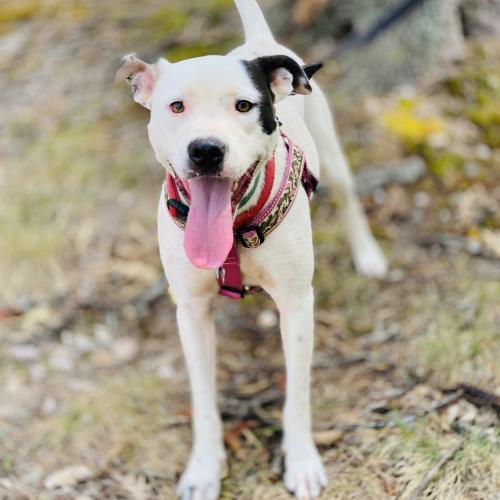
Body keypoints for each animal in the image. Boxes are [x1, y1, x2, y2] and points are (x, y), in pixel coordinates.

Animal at [117, 1, 386, 498]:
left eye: (244, 105)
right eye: (176, 106)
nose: (205, 149)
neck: (234, 232)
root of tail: (259, 43)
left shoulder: (297, 307)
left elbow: (297, 393)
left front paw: (301, 462)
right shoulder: (192, 312)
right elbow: (203, 397)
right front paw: (204, 469)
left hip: (331, 148)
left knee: (347, 197)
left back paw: (369, 256)